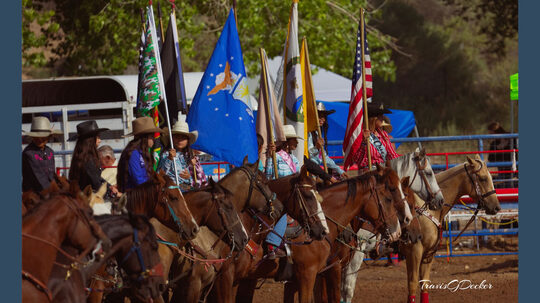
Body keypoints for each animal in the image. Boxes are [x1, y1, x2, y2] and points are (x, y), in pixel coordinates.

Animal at [400, 157, 502, 303]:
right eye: (483, 178)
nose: (496, 207)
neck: (427, 209)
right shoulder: (414, 251)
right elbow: (412, 285)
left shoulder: (428, 254)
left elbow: (424, 284)